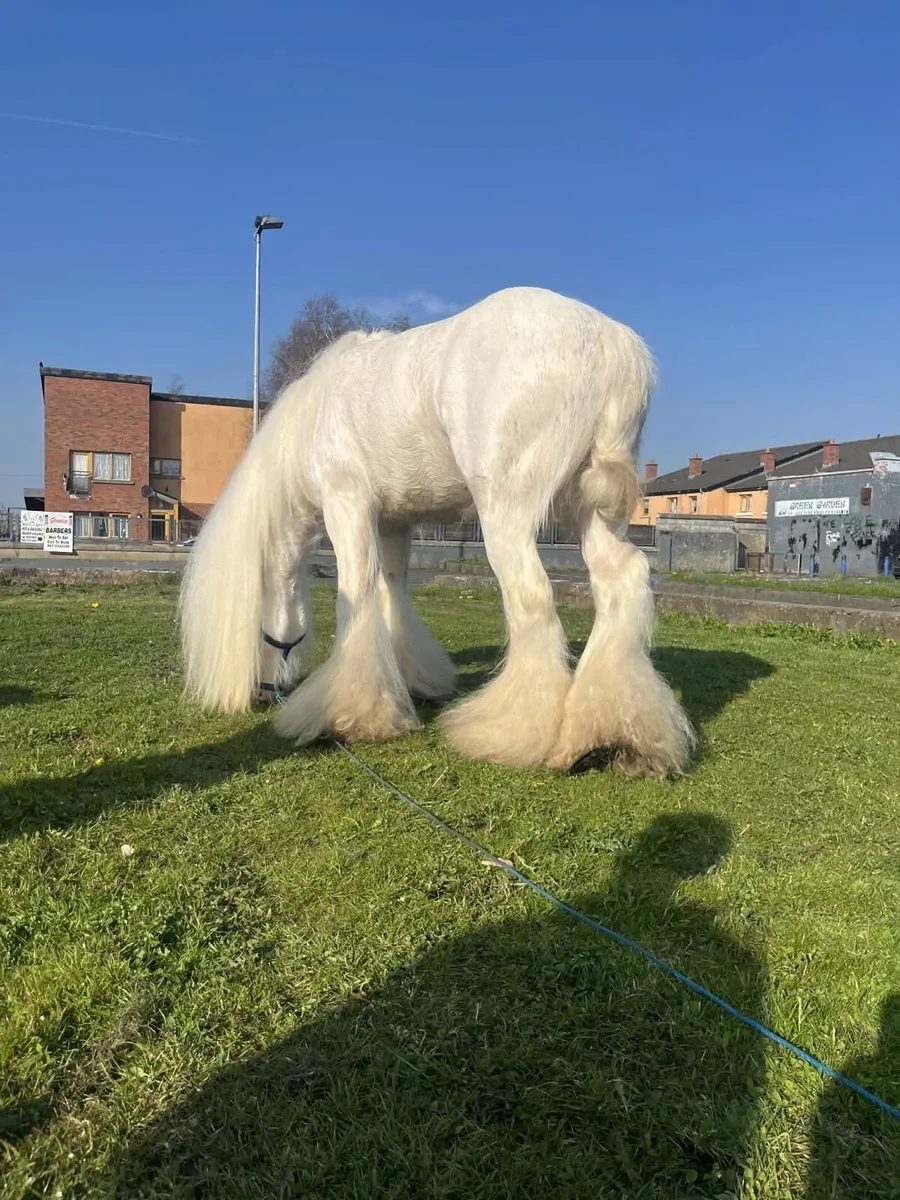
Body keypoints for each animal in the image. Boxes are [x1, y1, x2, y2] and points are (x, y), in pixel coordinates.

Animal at [178, 286, 694, 778]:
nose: (263, 693)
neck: (314, 419)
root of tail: (609, 339)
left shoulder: (347, 506)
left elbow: (357, 597)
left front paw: (350, 716)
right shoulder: (393, 523)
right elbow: (391, 595)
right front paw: (408, 683)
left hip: (506, 513)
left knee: (531, 597)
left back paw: (509, 732)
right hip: (588, 511)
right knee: (621, 583)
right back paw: (611, 736)